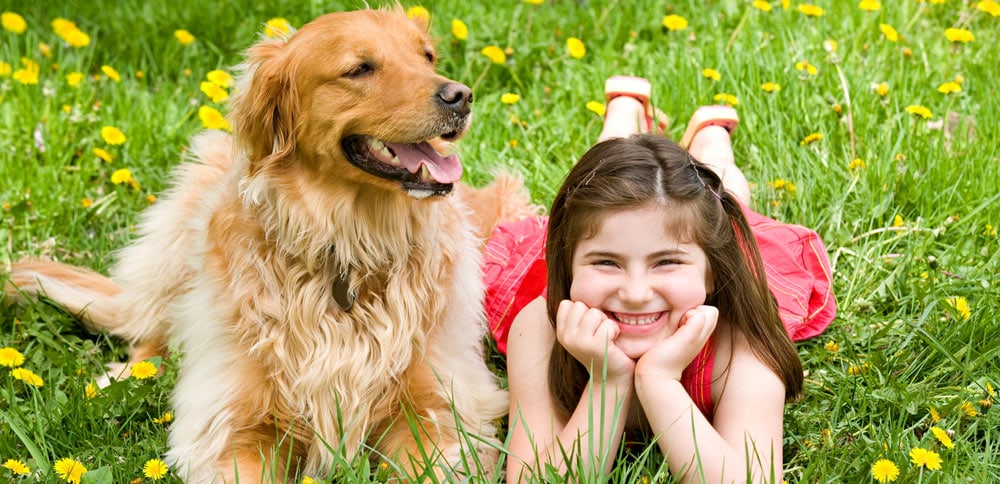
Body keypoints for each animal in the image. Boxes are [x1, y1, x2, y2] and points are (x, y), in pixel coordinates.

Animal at [7, 6, 528, 480]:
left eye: (427, 57)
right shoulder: (230, 424)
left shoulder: (442, 411)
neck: (347, 248)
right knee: (150, 335)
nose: (461, 96)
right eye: (360, 68)